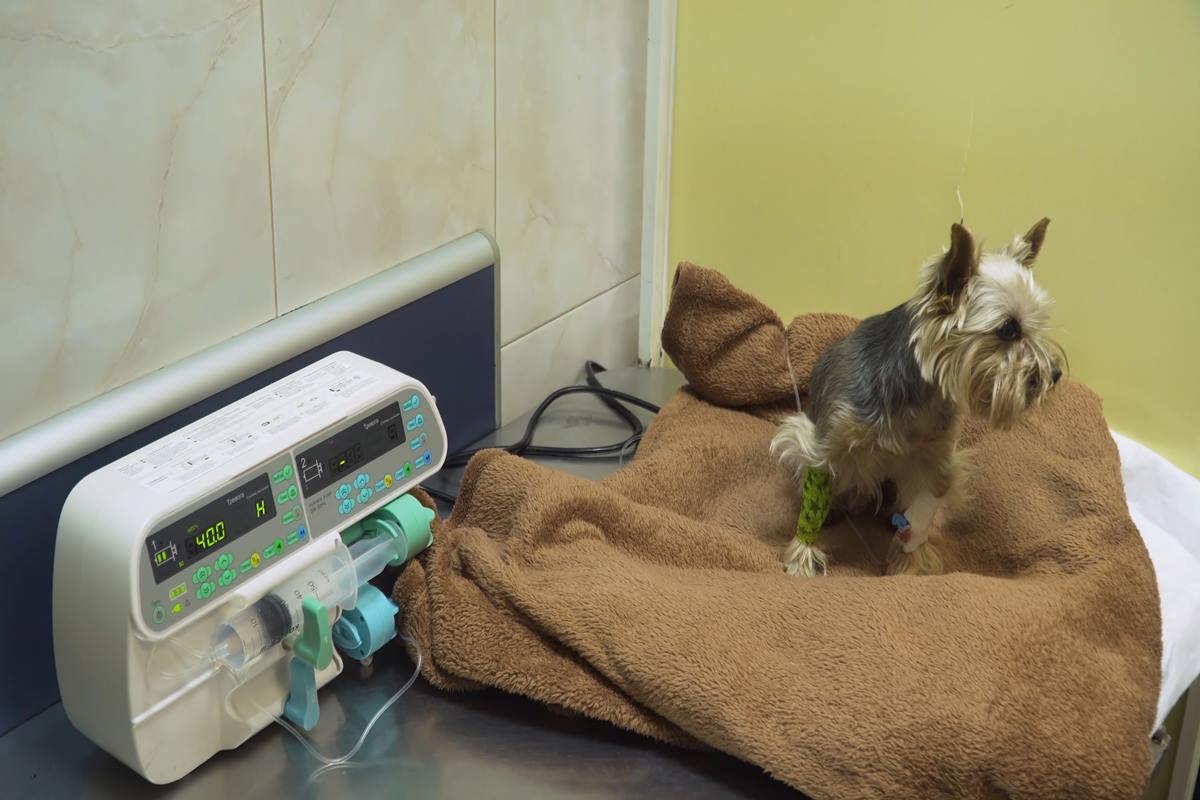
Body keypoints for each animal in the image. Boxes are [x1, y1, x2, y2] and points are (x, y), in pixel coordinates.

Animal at [772, 219, 1065, 575]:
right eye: (1008, 329)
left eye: (1039, 324)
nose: (1054, 375)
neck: (922, 396)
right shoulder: (827, 446)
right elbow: (815, 496)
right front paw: (802, 558)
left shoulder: (933, 459)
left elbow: (921, 513)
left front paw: (909, 565)